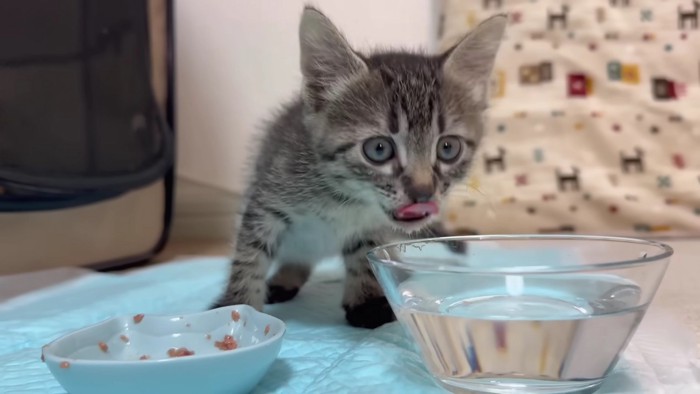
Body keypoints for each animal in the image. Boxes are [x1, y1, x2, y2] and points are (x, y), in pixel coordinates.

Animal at [211, 7, 506, 328]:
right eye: (378, 149)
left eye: (448, 148)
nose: (423, 193)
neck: (342, 199)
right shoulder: (267, 197)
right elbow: (250, 254)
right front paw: (238, 308)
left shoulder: (373, 226)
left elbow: (365, 253)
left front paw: (366, 299)